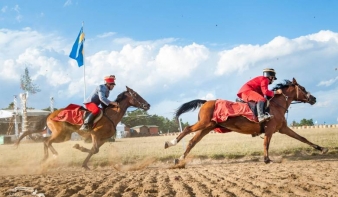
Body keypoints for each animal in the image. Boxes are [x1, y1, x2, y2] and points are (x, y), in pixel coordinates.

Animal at [15, 86, 151, 169]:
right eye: (136, 95)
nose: (147, 105)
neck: (111, 115)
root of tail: (50, 114)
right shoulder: (95, 134)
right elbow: (94, 149)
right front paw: (78, 148)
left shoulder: (104, 139)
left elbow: (94, 150)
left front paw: (84, 163)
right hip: (59, 133)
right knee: (47, 141)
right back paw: (53, 156)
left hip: (64, 136)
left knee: (45, 140)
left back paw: (45, 159)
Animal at [165, 77, 328, 164]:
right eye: (303, 88)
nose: (314, 98)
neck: (276, 105)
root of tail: (206, 101)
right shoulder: (270, 129)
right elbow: (266, 143)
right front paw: (267, 159)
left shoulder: (283, 129)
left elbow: (302, 138)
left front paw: (322, 149)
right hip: (204, 123)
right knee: (187, 130)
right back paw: (170, 143)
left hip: (207, 127)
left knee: (193, 141)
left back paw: (179, 159)